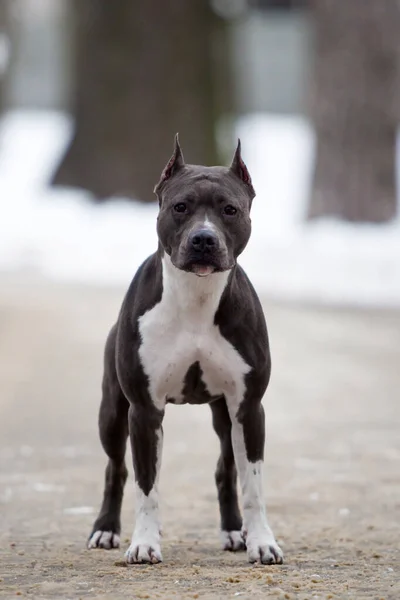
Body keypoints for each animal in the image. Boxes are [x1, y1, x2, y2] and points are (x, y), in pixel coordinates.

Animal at [88, 135, 282, 564]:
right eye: (180, 207)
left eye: (230, 209)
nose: (204, 239)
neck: (197, 296)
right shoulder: (144, 411)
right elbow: (146, 486)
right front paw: (144, 543)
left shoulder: (248, 408)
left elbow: (254, 484)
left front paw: (262, 542)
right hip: (112, 412)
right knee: (116, 468)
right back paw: (106, 529)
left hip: (225, 416)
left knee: (226, 469)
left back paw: (233, 531)